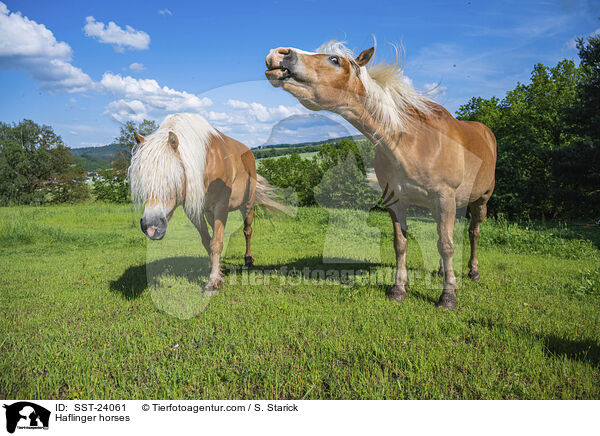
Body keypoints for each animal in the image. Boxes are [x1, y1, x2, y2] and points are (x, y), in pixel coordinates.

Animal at [129, 112, 284, 296]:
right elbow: (207, 242)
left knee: (247, 231)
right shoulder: (194, 212)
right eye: (142, 182)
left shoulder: (221, 207)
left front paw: (213, 284)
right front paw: (219, 274)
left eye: (171, 181)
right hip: (211, 214)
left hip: (247, 205)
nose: (150, 227)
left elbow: (216, 243)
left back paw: (248, 259)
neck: (205, 163)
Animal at [264, 39, 494, 308]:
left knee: (473, 233)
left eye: (334, 60)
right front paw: (399, 289)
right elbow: (401, 244)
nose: (278, 53)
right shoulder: (396, 201)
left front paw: (448, 296)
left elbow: (446, 246)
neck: (412, 142)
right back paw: (440, 270)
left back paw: (473, 271)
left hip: (480, 200)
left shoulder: (444, 198)